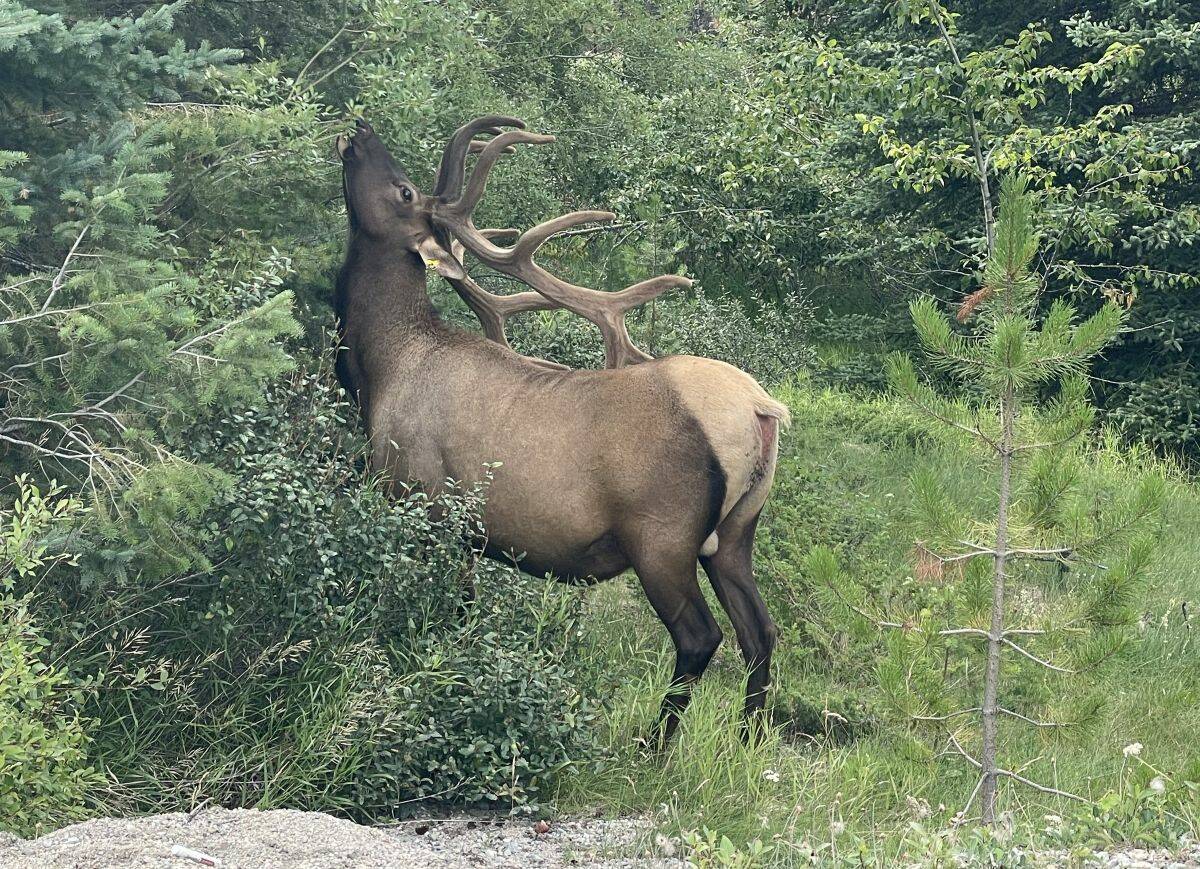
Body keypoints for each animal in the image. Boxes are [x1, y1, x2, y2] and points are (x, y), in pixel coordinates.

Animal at [333, 116, 790, 742]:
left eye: (404, 190)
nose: (359, 129)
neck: (382, 368)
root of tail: (762, 411)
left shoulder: (425, 500)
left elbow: (451, 612)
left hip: (661, 535)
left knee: (702, 636)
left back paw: (653, 745)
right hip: (736, 533)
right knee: (759, 631)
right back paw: (747, 739)